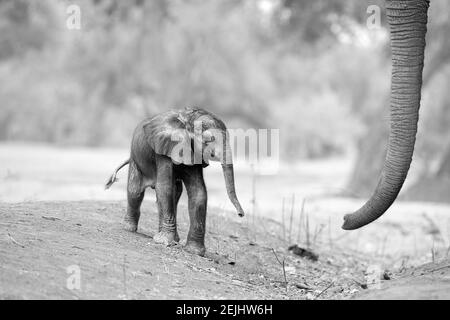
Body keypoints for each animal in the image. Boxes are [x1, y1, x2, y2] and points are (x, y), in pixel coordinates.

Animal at [105, 106, 244, 256]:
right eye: (208, 140)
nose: (241, 214)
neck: (187, 120)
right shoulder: (164, 149)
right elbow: (164, 187)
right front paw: (165, 242)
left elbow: (198, 192)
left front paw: (194, 251)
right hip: (136, 156)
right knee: (135, 190)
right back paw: (129, 228)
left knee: (175, 193)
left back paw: (166, 237)